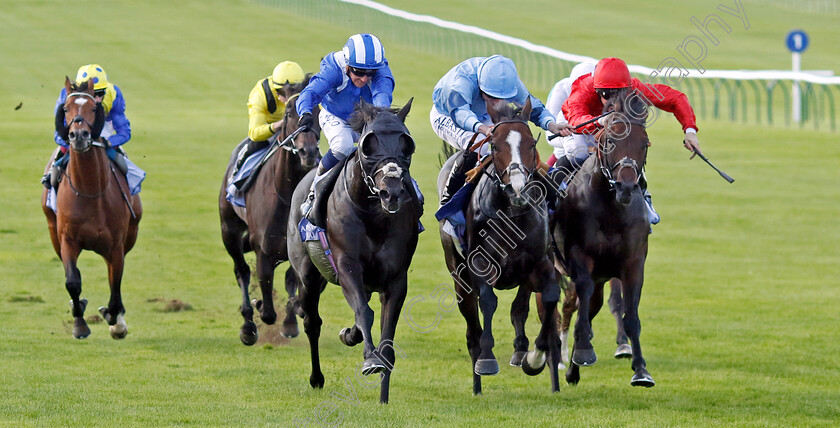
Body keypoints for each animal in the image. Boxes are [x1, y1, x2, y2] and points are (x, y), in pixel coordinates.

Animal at [41, 76, 141, 338]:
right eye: (66, 109)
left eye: (94, 109)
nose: (78, 135)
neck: (90, 192)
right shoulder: (67, 240)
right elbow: (73, 281)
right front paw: (80, 323)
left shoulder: (116, 245)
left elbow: (115, 283)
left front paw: (116, 321)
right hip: (53, 230)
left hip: (130, 234)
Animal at [218, 82, 320, 346]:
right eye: (289, 114)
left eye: (319, 112)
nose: (308, 152)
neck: (286, 195)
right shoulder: (262, 248)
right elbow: (268, 310)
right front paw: (259, 304)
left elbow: (292, 284)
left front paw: (291, 321)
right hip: (229, 230)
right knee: (242, 271)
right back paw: (248, 325)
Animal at [288, 98, 420, 402]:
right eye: (368, 145)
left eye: (406, 144)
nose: (391, 192)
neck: (373, 217)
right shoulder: (347, 264)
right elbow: (364, 312)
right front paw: (370, 359)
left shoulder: (396, 277)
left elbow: (387, 337)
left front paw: (383, 396)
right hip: (308, 274)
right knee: (312, 322)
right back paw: (317, 377)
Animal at [436, 99, 560, 394]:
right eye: (493, 145)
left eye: (531, 143)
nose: (518, 189)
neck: (511, 213)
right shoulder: (480, 264)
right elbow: (488, 302)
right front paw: (487, 359)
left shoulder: (539, 262)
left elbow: (548, 298)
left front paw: (535, 358)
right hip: (458, 276)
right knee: (471, 326)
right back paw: (477, 384)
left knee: (519, 307)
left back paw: (520, 350)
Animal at [552, 88, 656, 388]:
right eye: (610, 140)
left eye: (644, 144)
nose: (626, 186)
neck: (611, 211)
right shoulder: (580, 258)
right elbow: (582, 305)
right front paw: (584, 350)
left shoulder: (633, 264)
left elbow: (630, 315)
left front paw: (641, 370)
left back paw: (572, 369)